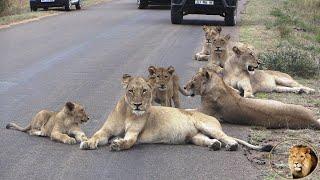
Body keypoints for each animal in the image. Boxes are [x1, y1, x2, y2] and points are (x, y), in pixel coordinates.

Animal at [79, 74, 272, 152]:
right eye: (131, 91)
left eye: (144, 91)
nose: (138, 105)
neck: (128, 112)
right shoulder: (106, 131)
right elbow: (97, 136)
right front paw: (87, 143)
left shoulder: (134, 133)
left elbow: (129, 142)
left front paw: (118, 144)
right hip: (195, 137)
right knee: (210, 140)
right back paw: (214, 145)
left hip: (207, 125)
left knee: (229, 138)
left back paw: (230, 145)